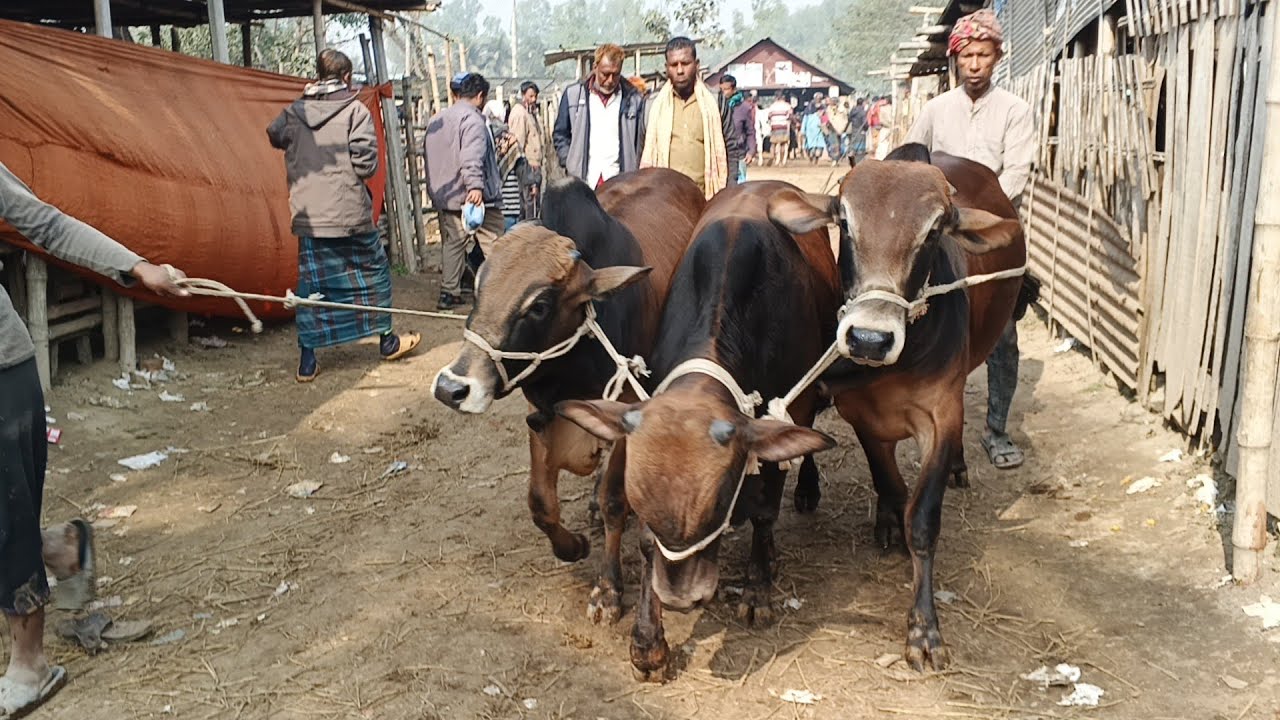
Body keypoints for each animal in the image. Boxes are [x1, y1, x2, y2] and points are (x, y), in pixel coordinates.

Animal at [432, 168, 705, 624]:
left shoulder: (625, 418)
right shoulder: (541, 416)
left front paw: (608, 591)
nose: (451, 388)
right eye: (478, 286)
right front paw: (573, 545)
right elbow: (540, 503)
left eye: (539, 305)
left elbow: (614, 503)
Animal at [557, 181, 843, 681]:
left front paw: (758, 590)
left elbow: (765, 510)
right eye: (641, 506)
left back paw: (805, 494)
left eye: (716, 505)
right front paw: (648, 643)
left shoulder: (788, 410)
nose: (680, 598)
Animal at [767, 146, 1026, 671]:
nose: (869, 338)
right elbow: (888, 481)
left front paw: (924, 630)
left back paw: (961, 466)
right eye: (844, 222)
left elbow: (922, 519)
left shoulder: (941, 417)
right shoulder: (860, 414)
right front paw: (887, 516)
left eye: (934, 230)